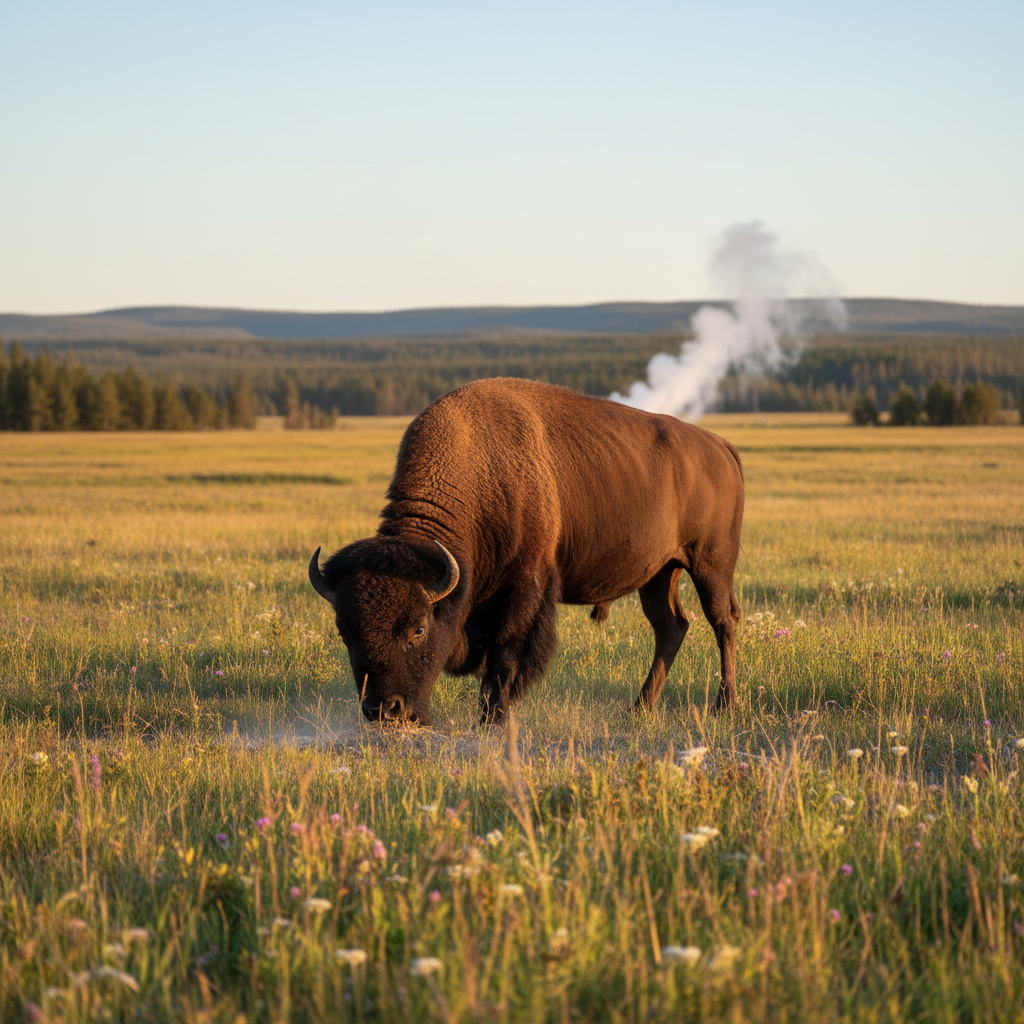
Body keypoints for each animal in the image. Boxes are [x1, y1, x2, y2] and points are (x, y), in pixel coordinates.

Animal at [309, 378, 744, 726]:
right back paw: (639, 708)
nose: (382, 710)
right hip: (659, 573)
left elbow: (505, 658)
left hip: (711, 564)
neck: (479, 473)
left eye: (418, 627)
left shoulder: (523, 591)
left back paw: (724, 705)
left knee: (722, 622)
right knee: (671, 627)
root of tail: (720, 446)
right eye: (345, 630)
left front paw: (493, 719)